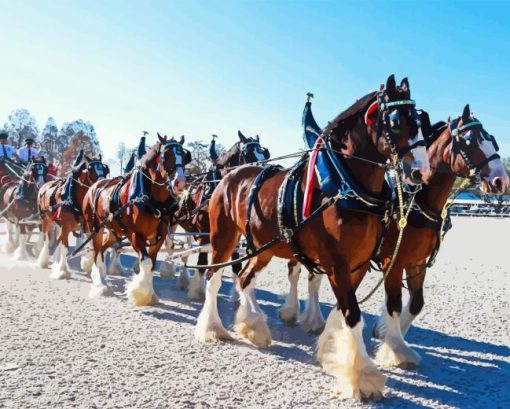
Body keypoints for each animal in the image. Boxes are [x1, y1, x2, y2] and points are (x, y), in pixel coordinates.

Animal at [83, 135, 191, 302]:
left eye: (185, 156)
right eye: (165, 156)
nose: (179, 182)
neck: (148, 198)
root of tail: (95, 185)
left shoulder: (159, 237)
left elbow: (152, 264)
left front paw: (150, 295)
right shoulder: (134, 234)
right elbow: (145, 262)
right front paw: (140, 293)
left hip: (115, 231)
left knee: (102, 249)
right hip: (95, 228)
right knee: (96, 252)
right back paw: (101, 285)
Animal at [167, 131, 270, 300]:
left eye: (264, 153)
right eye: (248, 152)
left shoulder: (232, 235)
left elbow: (235, 266)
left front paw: (236, 296)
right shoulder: (204, 234)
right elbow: (202, 264)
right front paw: (197, 292)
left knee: (184, 250)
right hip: (172, 222)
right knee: (169, 245)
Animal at [195, 74, 430, 398]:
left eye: (420, 121)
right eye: (396, 121)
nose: (422, 171)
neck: (344, 186)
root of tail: (229, 176)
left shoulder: (356, 265)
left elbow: (343, 311)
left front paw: (329, 350)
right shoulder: (337, 264)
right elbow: (353, 315)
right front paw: (363, 376)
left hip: (263, 248)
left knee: (244, 279)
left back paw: (254, 327)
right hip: (223, 239)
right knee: (213, 278)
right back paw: (213, 328)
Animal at [370, 103, 510, 366]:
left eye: (492, 140)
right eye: (469, 141)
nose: (501, 180)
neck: (416, 201)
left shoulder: (416, 262)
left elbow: (415, 304)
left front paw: (389, 337)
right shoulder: (391, 261)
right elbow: (394, 304)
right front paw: (394, 350)